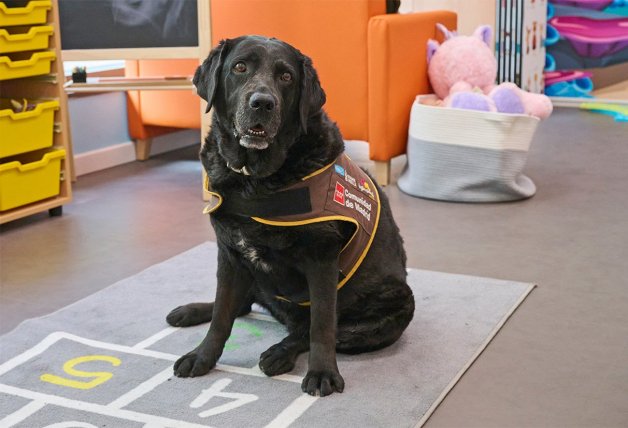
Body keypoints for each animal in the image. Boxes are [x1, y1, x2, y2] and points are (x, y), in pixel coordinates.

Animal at [167, 35, 414, 396]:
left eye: (286, 77)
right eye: (240, 67)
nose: (262, 103)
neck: (253, 179)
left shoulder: (322, 259)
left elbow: (322, 325)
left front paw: (323, 372)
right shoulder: (230, 254)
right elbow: (222, 316)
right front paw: (202, 356)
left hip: (395, 306)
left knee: (313, 330)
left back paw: (279, 353)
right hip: (254, 277)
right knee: (241, 305)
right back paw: (190, 311)